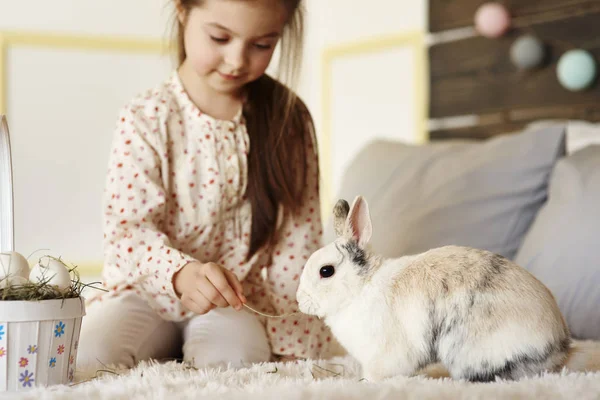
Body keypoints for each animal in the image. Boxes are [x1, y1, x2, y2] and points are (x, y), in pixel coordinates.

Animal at [296, 195, 596, 382]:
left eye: (326, 271)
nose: (300, 301)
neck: (362, 288)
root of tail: (561, 348)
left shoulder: (385, 353)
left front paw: (365, 382)